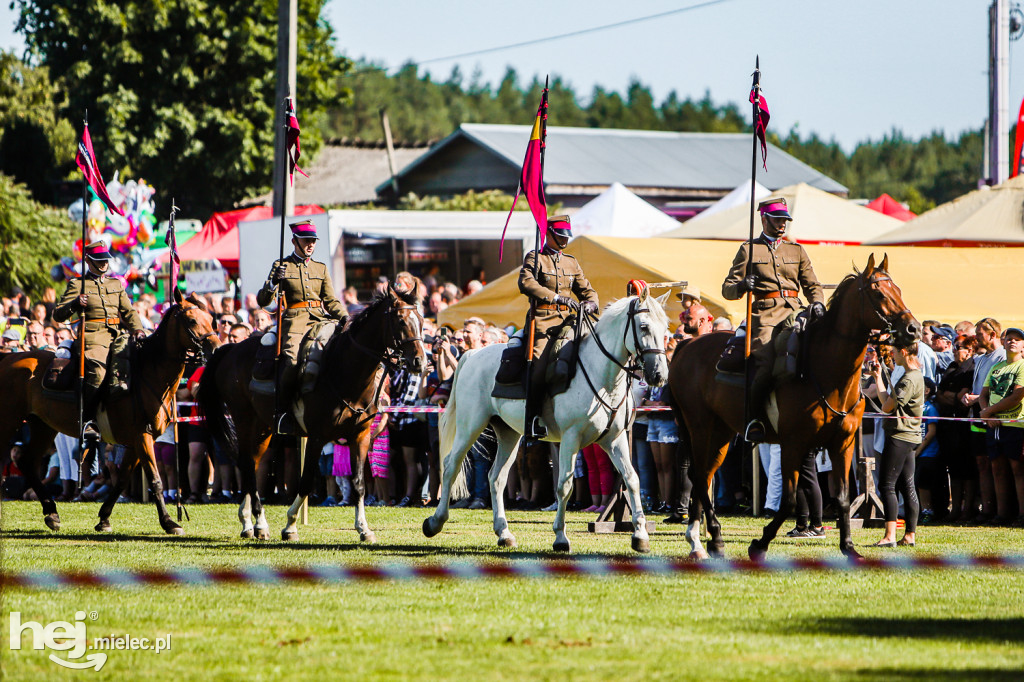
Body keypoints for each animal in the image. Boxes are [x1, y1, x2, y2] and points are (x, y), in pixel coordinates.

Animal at [0, 288, 218, 532]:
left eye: (210, 319)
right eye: (192, 320)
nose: (217, 348)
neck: (149, 372)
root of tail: (8, 357)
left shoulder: (137, 440)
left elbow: (122, 479)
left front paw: (104, 518)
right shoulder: (143, 436)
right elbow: (155, 480)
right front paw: (169, 522)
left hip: (43, 426)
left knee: (27, 462)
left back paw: (52, 512)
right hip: (9, 420)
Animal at [197, 284, 425, 540]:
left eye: (421, 320)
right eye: (401, 320)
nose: (420, 361)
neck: (344, 370)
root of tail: (232, 348)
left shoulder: (361, 436)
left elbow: (358, 484)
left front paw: (363, 528)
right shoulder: (317, 437)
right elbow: (305, 482)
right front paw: (290, 525)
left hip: (262, 427)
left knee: (251, 465)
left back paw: (248, 522)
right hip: (244, 419)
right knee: (247, 464)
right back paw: (260, 523)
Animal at [421, 288, 671, 548]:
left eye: (665, 328)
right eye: (643, 326)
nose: (659, 375)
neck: (602, 375)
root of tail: (472, 354)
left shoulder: (614, 439)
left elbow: (632, 479)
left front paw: (640, 535)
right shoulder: (571, 438)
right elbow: (564, 486)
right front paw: (560, 536)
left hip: (509, 434)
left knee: (496, 478)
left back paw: (504, 533)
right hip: (470, 425)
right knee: (451, 466)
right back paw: (435, 522)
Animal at [671, 254, 921, 557]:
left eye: (898, 290)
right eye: (879, 292)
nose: (913, 329)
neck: (825, 372)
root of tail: (688, 345)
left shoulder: (843, 444)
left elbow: (842, 497)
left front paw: (849, 547)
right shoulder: (793, 443)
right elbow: (789, 500)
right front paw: (760, 544)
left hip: (720, 434)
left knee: (704, 476)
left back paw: (705, 540)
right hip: (700, 427)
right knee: (699, 476)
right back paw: (705, 539)